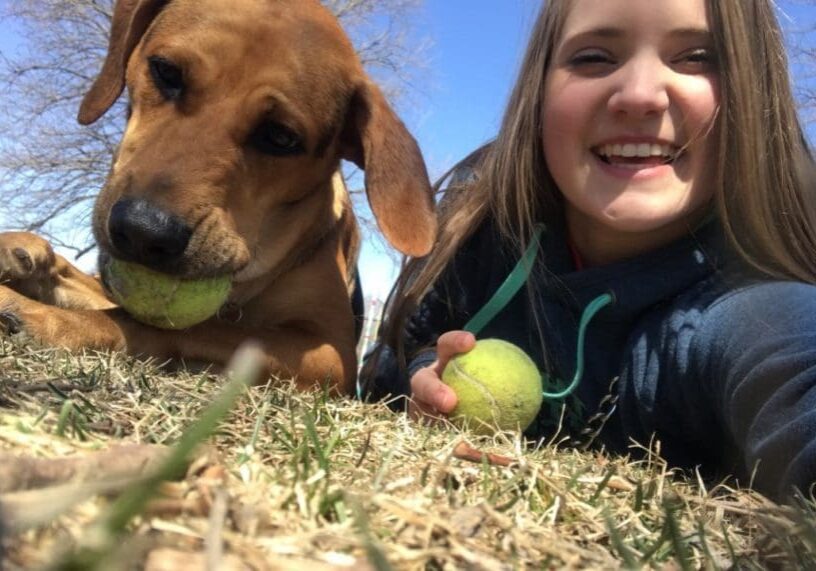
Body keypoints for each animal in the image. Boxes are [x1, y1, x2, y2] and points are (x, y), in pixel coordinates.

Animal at [0, 0, 436, 394]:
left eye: (281, 136)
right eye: (165, 71)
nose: (143, 231)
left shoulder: (330, 349)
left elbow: (162, 323)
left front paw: (46, 317)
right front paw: (25, 255)